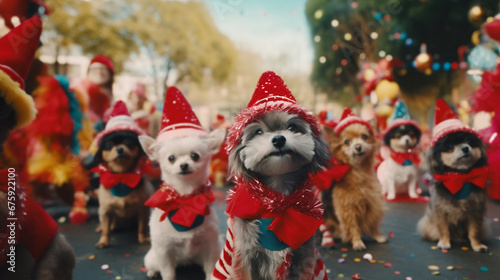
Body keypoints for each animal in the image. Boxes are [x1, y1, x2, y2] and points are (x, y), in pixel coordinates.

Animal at [139, 86, 225, 278]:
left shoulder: (210, 246)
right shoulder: (164, 251)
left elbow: (210, 269)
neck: (186, 198)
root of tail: (185, 261)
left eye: (195, 156)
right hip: (153, 257)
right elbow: (168, 273)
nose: (184, 165)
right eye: (171, 158)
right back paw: (151, 272)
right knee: (153, 265)